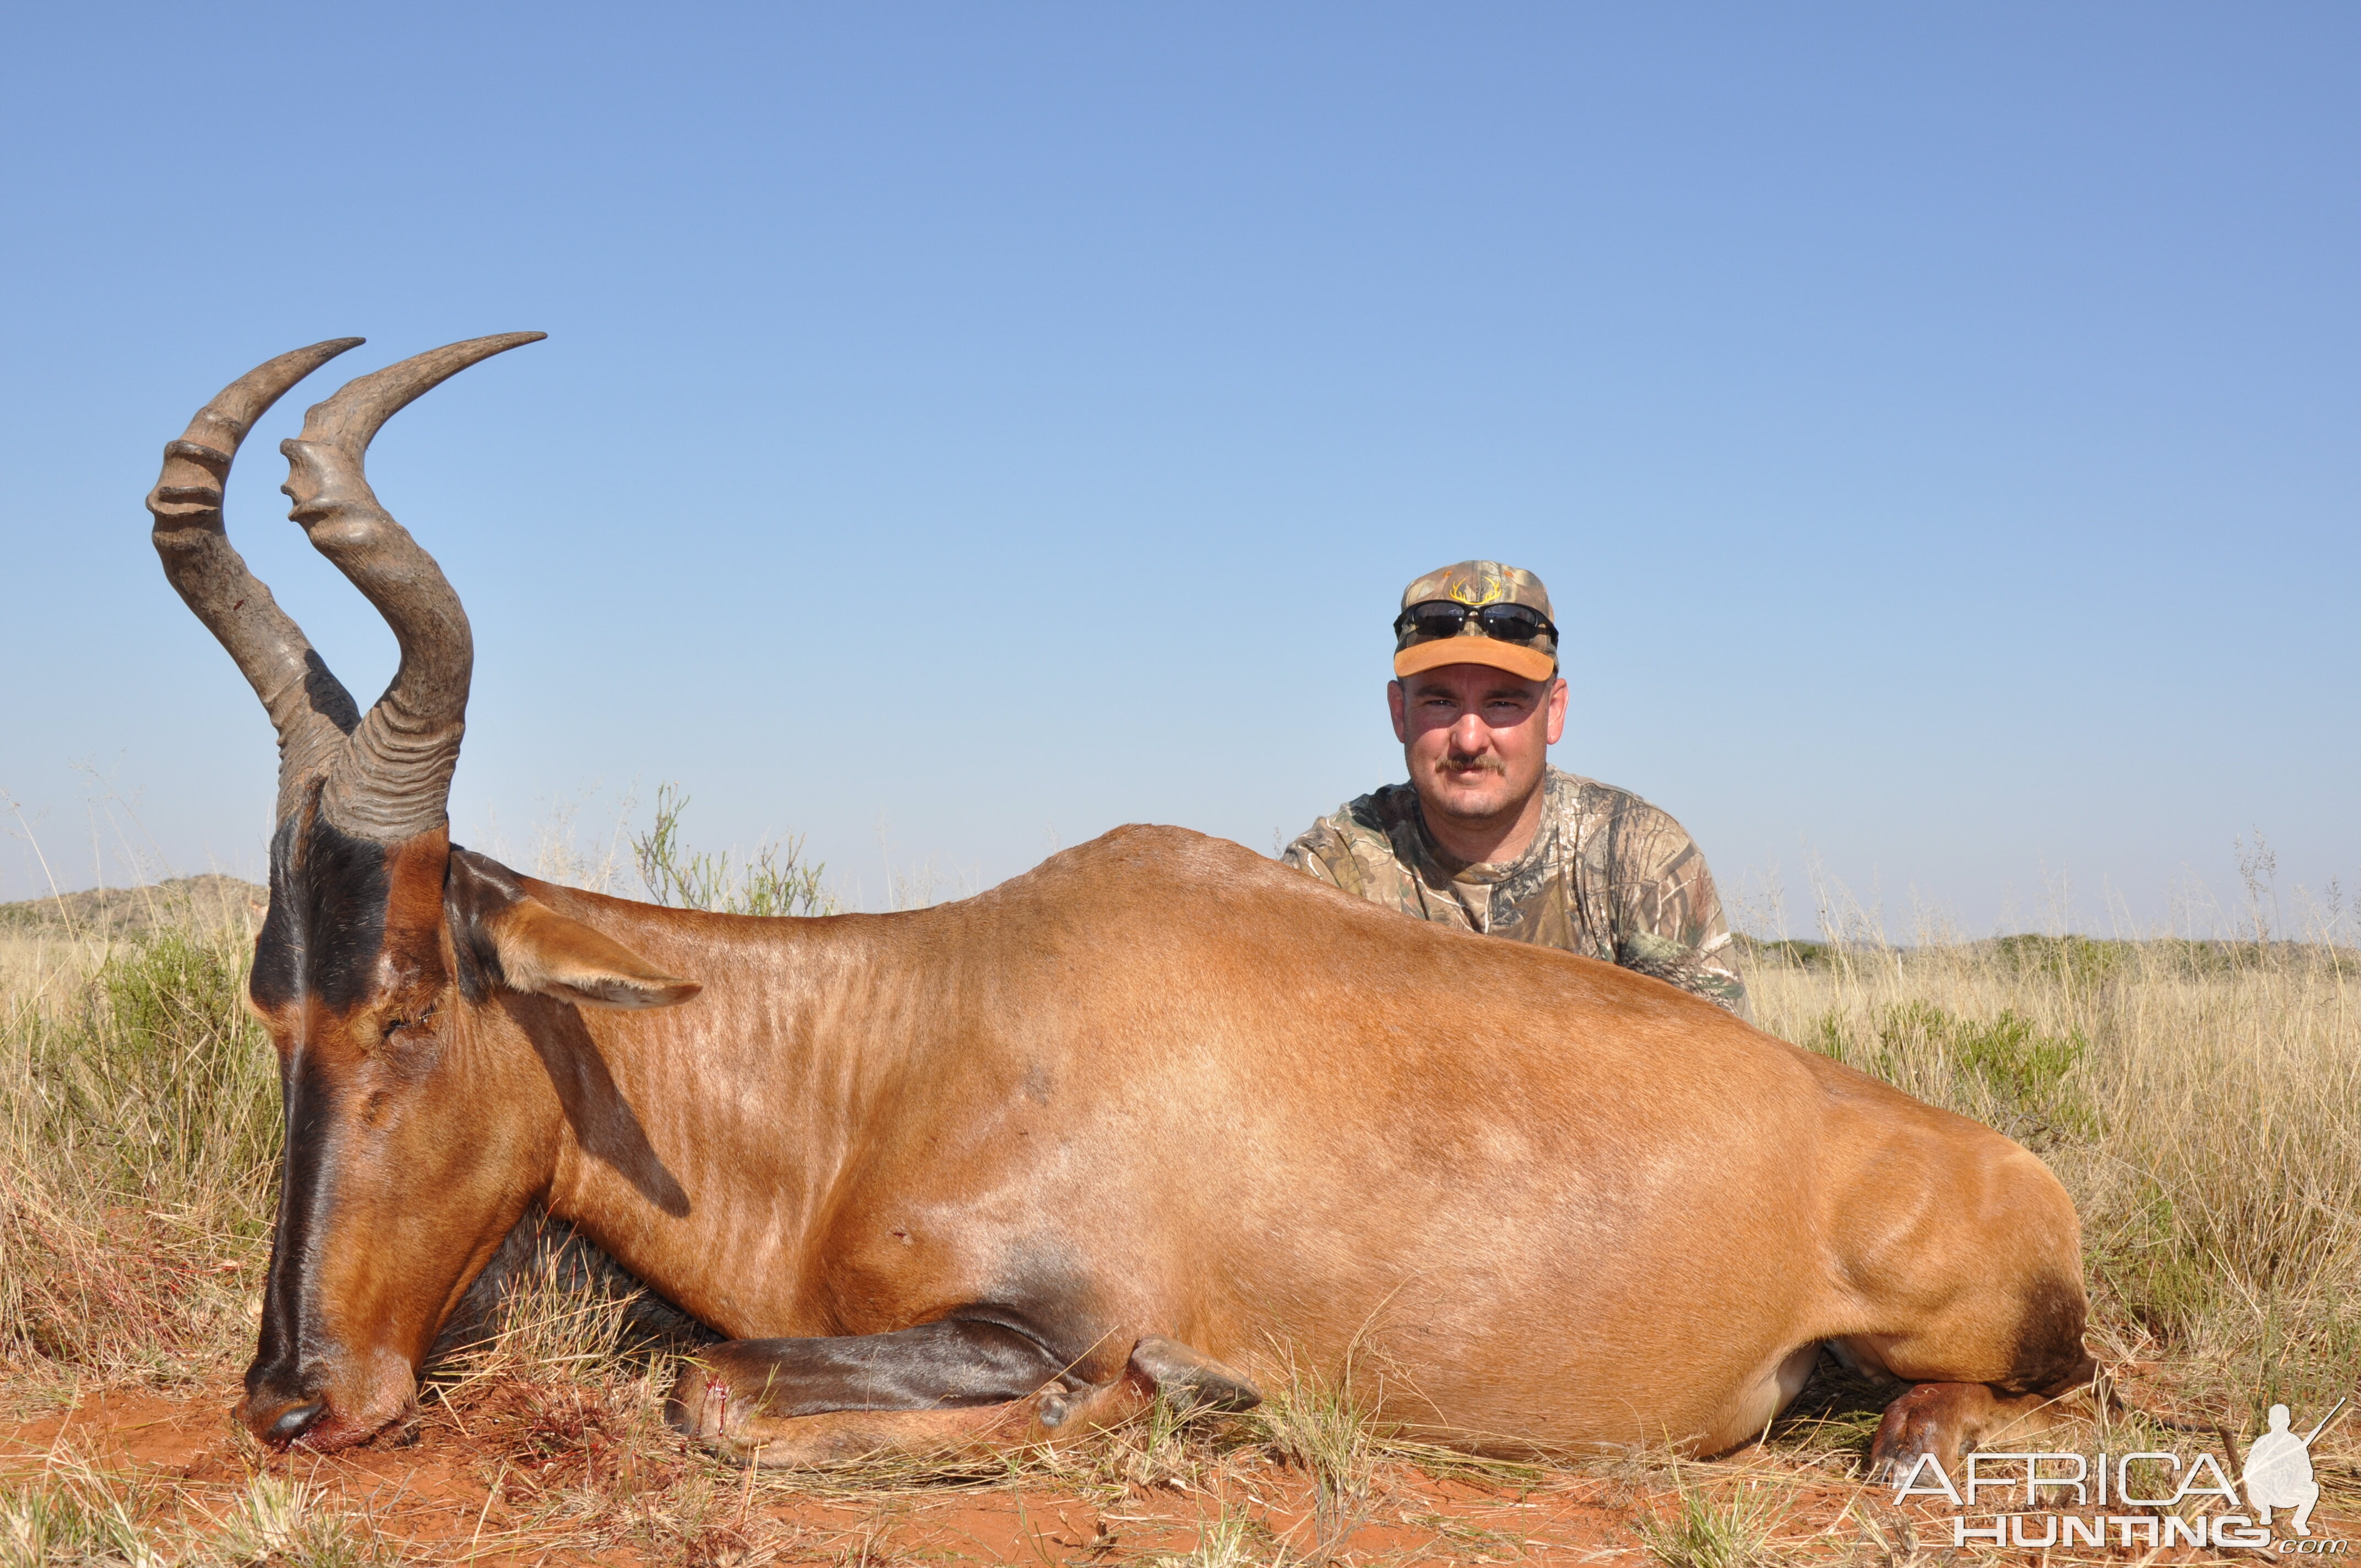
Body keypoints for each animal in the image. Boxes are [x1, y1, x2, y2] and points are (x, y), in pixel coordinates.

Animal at [157, 337, 2096, 1473]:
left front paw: (1186, 1393)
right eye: (274, 1005)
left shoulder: (1032, 1318)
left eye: (413, 1002)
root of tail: (2005, 1165)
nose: (293, 1396)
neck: (907, 1034)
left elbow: (720, 1389)